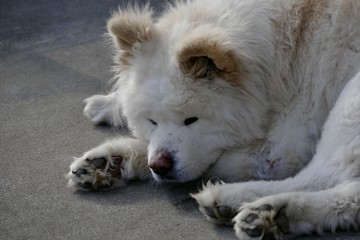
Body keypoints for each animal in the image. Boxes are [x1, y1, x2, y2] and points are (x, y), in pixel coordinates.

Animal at [66, 0, 358, 239]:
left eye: (191, 120)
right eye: (152, 121)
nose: (160, 165)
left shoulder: (276, 152)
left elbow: (204, 162)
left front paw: (118, 157)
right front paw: (107, 151)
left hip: (349, 102)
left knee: (322, 177)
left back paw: (245, 202)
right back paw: (273, 215)